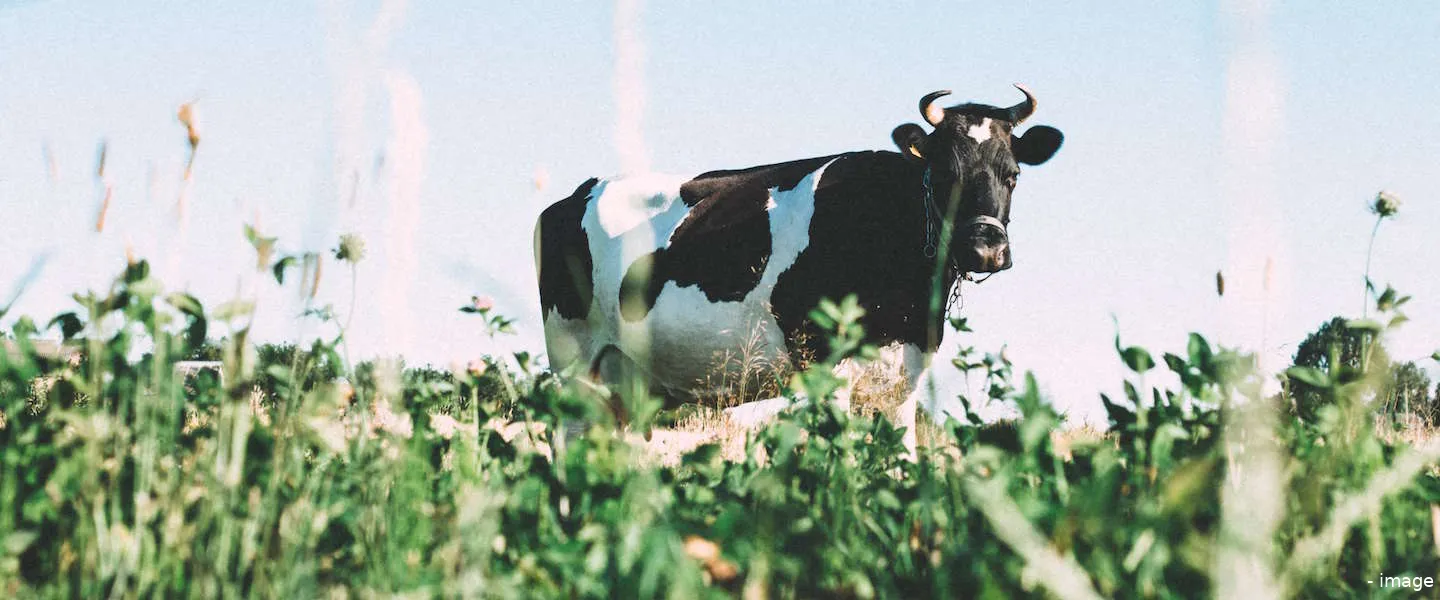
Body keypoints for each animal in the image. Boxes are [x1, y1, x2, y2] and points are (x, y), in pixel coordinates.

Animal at [534, 86, 1063, 456]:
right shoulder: (826, 362)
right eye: (945, 173)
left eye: (1013, 174)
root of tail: (574, 194)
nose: (985, 249)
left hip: (625, 384)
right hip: (574, 363)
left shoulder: (906, 372)